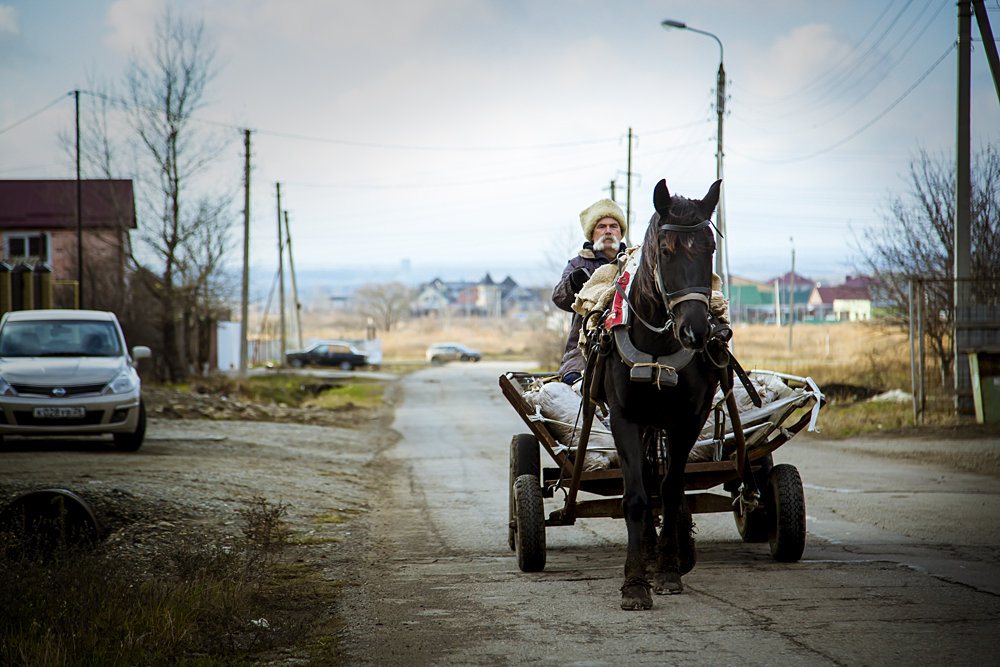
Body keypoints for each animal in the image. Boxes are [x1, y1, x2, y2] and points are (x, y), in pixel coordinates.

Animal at [592, 177, 728, 612]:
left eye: (710, 248)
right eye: (666, 250)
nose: (695, 331)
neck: (657, 345)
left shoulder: (688, 418)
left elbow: (670, 490)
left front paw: (669, 569)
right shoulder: (625, 418)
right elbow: (636, 495)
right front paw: (635, 582)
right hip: (646, 423)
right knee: (647, 477)